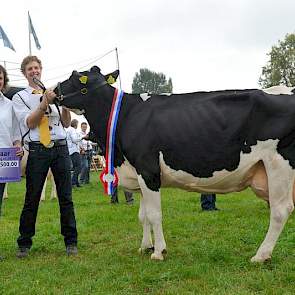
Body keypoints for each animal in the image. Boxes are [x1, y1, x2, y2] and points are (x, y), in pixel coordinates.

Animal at [54, 66, 295, 262]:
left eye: (76, 77)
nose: (53, 90)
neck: (125, 116)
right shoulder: (139, 173)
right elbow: (143, 215)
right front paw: (145, 246)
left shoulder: (148, 169)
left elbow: (154, 214)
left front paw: (159, 252)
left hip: (279, 164)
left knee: (280, 210)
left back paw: (261, 255)